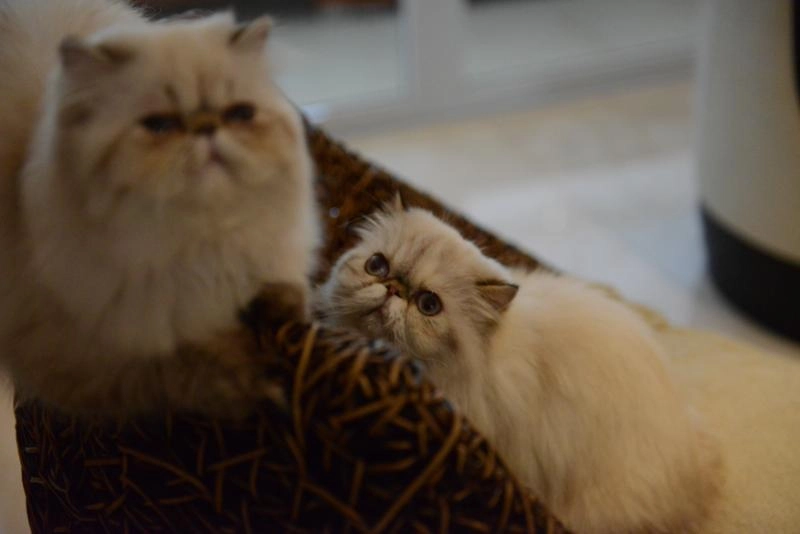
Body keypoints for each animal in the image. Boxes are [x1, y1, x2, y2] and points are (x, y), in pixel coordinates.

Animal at [0, 0, 319, 417]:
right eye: (159, 125)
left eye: (239, 114)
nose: (206, 126)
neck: (202, 252)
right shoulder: (96, 365)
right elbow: (190, 368)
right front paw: (260, 386)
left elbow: (291, 302)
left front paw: (276, 315)